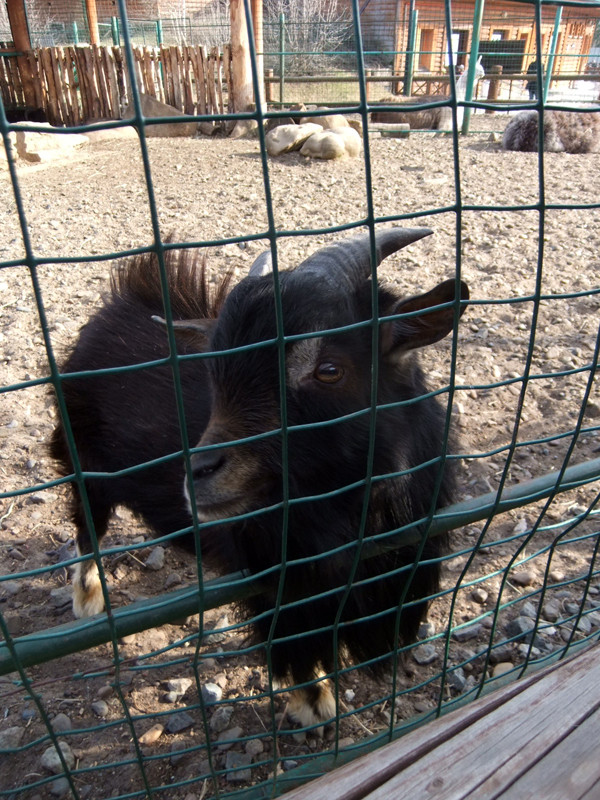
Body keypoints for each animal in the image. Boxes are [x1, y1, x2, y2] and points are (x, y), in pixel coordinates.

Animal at [51, 228, 469, 726]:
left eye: (329, 368)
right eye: (214, 371)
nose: (198, 474)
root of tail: (118, 302)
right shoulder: (279, 585)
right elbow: (298, 645)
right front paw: (314, 706)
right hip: (81, 454)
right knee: (86, 523)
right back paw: (89, 599)